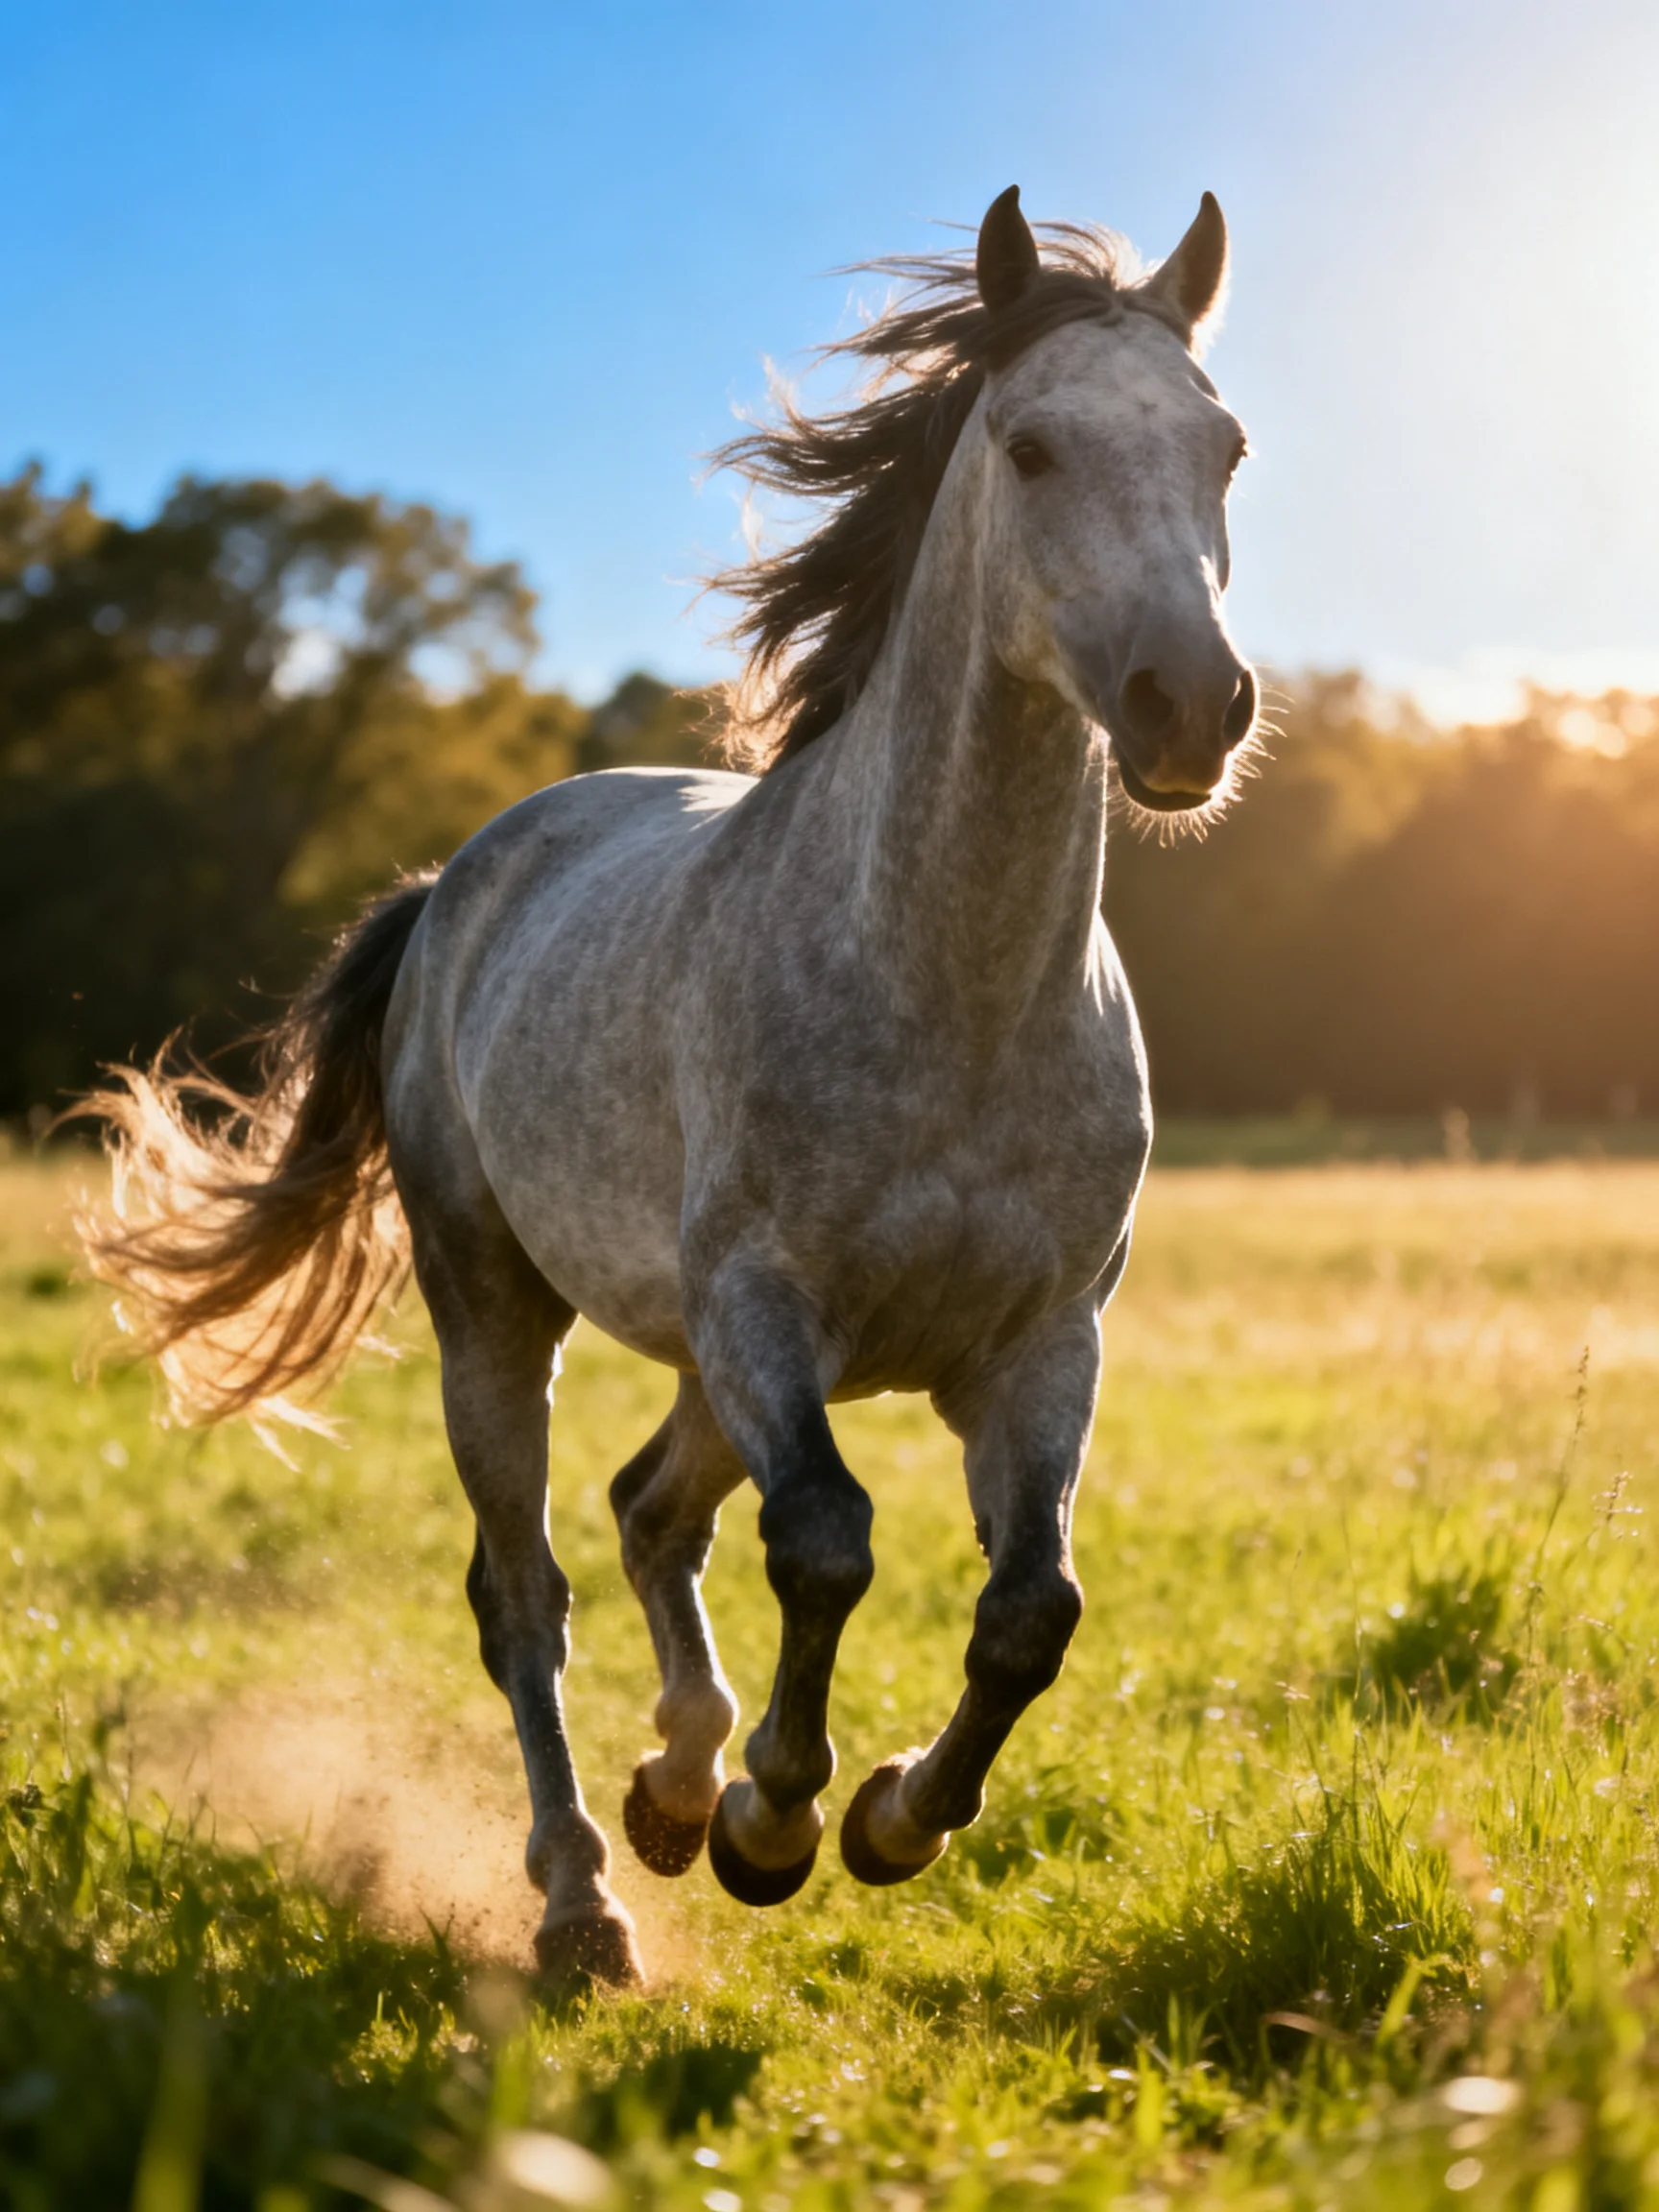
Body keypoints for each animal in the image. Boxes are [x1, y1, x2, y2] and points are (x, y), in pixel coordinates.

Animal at [78, 185, 1258, 1989]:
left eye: (1226, 446)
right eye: (1034, 446)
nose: (1190, 707)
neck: (952, 993)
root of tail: (455, 882)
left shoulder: (1043, 1341)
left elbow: (1029, 1611)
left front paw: (884, 1816)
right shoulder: (769, 1308)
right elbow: (828, 1538)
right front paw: (777, 1821)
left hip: (701, 1355)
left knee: (650, 1513)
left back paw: (666, 1790)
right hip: (503, 1315)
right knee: (528, 1588)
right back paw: (588, 1896)